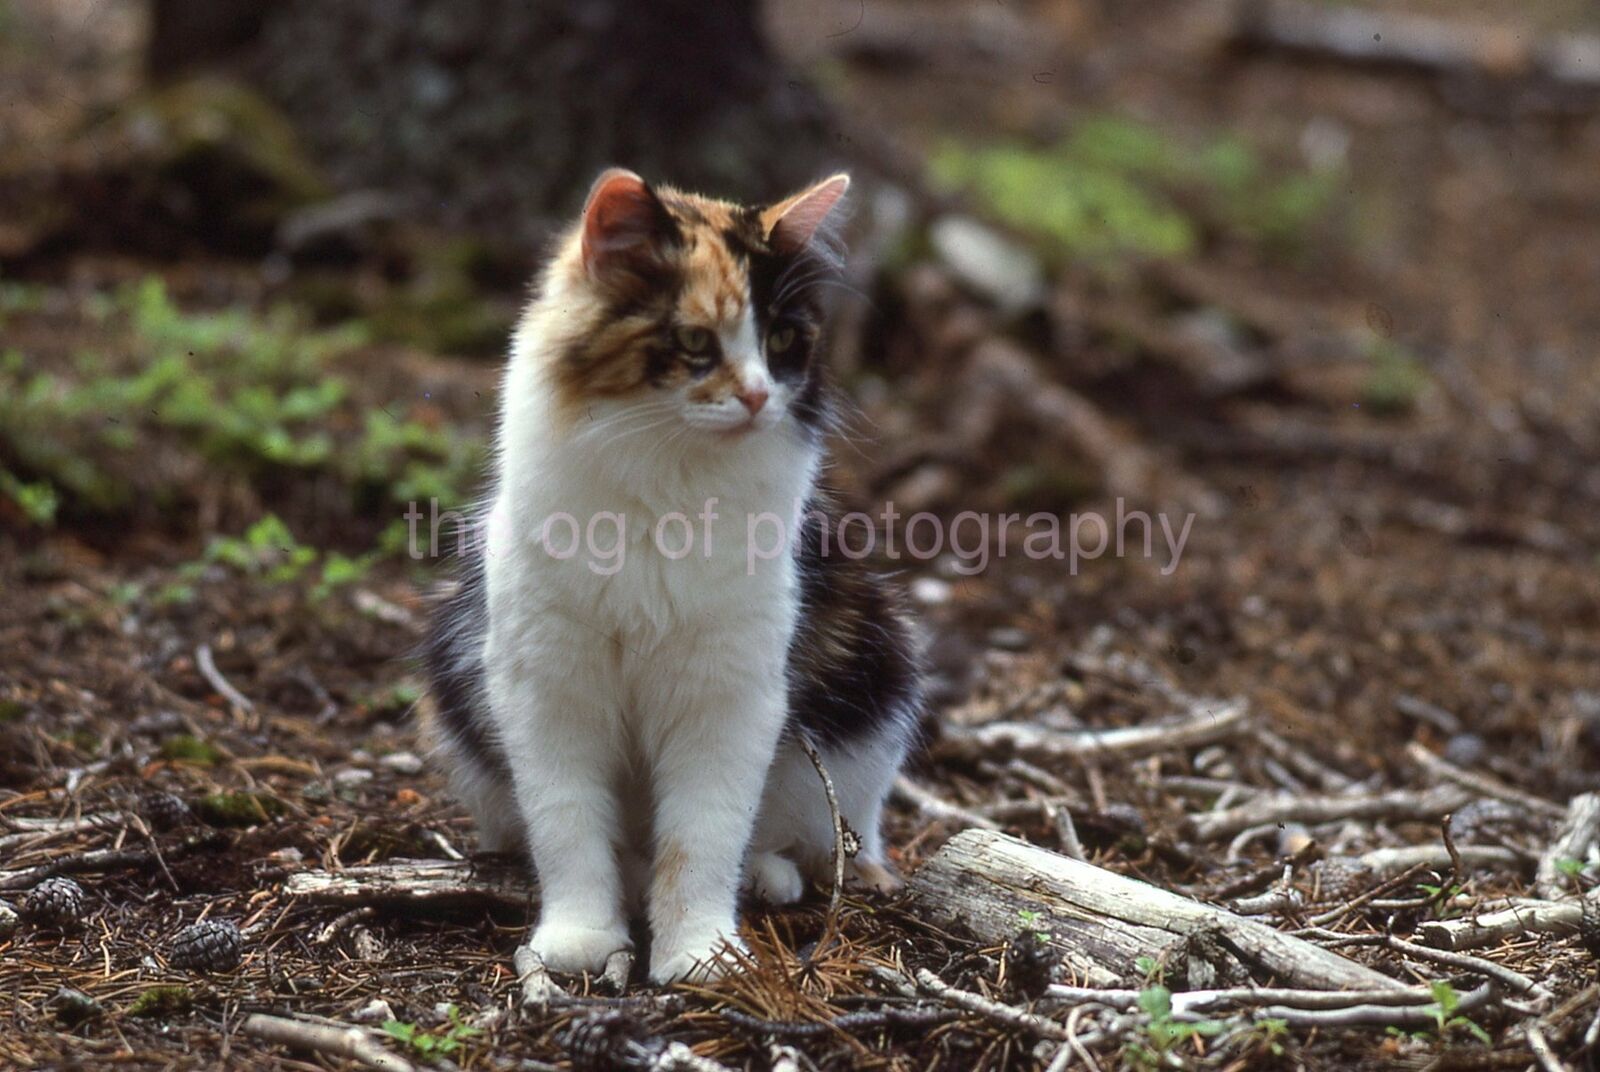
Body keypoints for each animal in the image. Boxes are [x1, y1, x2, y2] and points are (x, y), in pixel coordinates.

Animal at [422, 165, 928, 985]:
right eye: (694, 340)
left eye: (782, 339)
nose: (756, 396)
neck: (669, 482)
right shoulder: (548, 689)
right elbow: (570, 832)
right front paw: (582, 942)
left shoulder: (728, 697)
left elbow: (702, 840)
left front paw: (700, 955)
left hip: (879, 684)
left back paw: (769, 878)